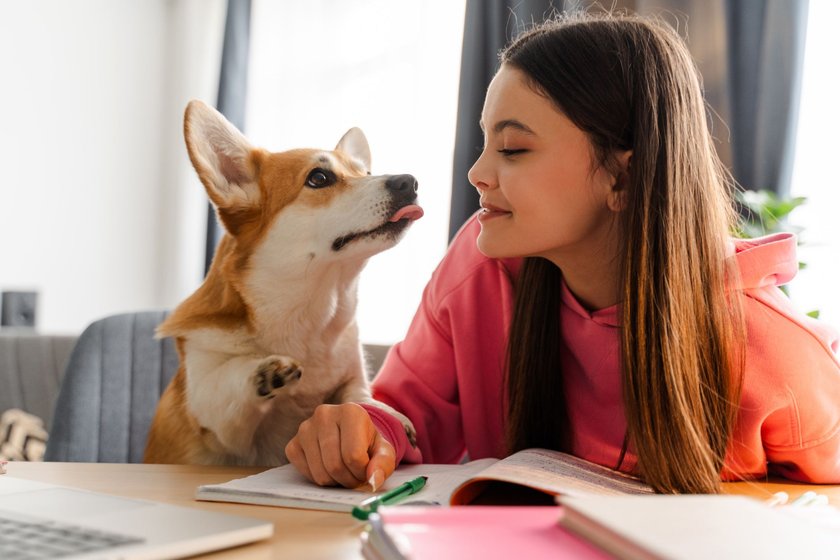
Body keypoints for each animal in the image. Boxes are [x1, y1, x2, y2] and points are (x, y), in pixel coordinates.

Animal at [144, 101, 424, 468]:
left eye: (365, 173)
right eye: (319, 178)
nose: (410, 182)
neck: (312, 315)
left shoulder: (353, 375)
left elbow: (358, 395)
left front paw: (386, 411)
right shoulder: (214, 415)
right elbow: (227, 380)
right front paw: (263, 372)